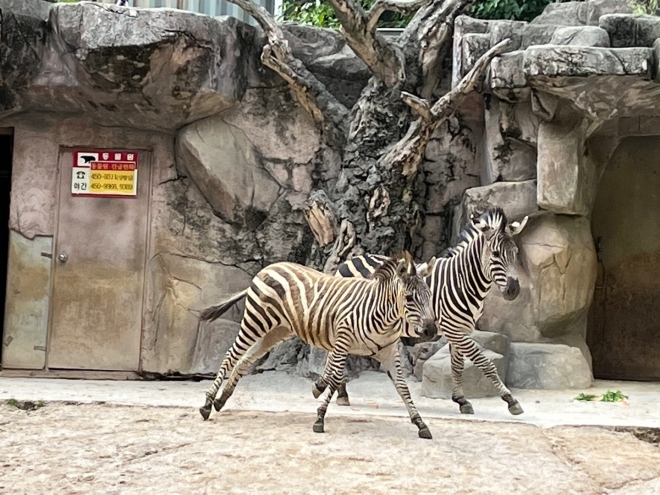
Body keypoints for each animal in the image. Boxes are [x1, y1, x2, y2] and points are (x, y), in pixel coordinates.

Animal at [199, 252, 440, 438]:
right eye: (409, 298)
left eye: (429, 295)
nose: (431, 330)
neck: (383, 317)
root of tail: (269, 267)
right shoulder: (342, 342)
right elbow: (334, 379)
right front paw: (320, 418)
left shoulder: (389, 353)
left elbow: (403, 388)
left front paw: (420, 423)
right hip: (256, 321)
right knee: (231, 355)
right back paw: (207, 404)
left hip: (276, 331)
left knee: (246, 358)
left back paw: (221, 400)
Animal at [330, 207, 532, 416]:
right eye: (495, 254)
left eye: (515, 253)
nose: (514, 290)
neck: (463, 281)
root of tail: (348, 261)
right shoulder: (453, 329)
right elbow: (484, 362)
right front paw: (511, 400)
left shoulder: (461, 330)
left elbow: (457, 365)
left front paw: (461, 400)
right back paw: (341, 393)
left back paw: (339, 392)